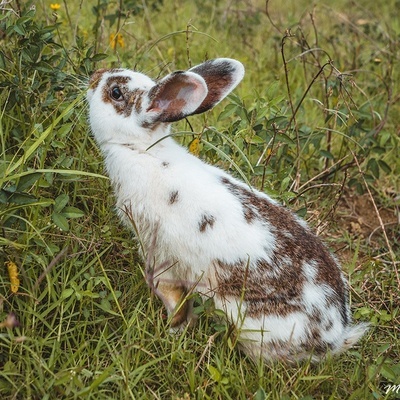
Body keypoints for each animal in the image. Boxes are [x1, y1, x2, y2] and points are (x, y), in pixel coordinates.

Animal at [87, 58, 368, 362]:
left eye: (115, 92)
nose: (94, 76)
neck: (141, 150)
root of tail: (334, 336)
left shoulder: (159, 252)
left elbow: (171, 295)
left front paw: (173, 330)